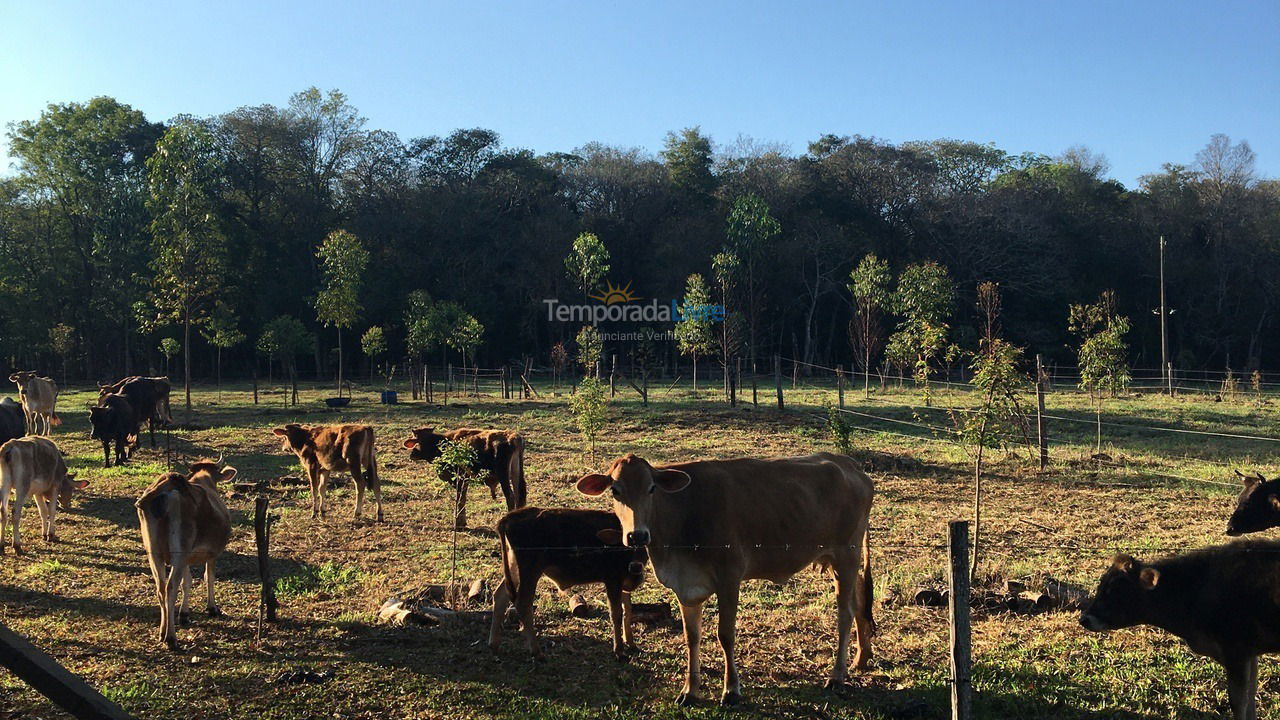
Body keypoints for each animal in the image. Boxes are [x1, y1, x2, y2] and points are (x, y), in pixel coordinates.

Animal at [136, 458, 236, 650]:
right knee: (170, 587)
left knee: (160, 587)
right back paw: (171, 638)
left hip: (154, 552)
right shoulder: (211, 554)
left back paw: (162, 631)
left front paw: (184, 613)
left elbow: (187, 581)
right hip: (179, 551)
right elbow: (208, 577)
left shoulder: (187, 559)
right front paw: (212, 608)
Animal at [488, 504, 650, 655]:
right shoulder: (612, 580)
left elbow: (627, 611)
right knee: (523, 603)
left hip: (513, 569)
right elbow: (616, 613)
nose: (636, 566)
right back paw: (536, 651)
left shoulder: (624, 583)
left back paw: (494, 644)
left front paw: (631, 643)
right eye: (627, 543)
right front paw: (619, 650)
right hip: (529, 571)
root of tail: (509, 517)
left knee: (500, 596)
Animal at [576, 450, 875, 702]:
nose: (637, 535)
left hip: (846, 555)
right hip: (835, 560)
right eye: (615, 491)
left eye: (652, 488)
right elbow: (692, 637)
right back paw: (861, 658)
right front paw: (690, 690)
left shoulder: (729, 579)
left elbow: (725, 635)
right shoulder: (685, 587)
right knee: (858, 599)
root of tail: (849, 464)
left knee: (845, 614)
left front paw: (731, 690)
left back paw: (836, 676)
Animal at [1080, 540, 1280, 712]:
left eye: (1114, 590)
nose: (1084, 619)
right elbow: (1250, 698)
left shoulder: (1235, 651)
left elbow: (1239, 702)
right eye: (1101, 586)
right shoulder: (1249, 653)